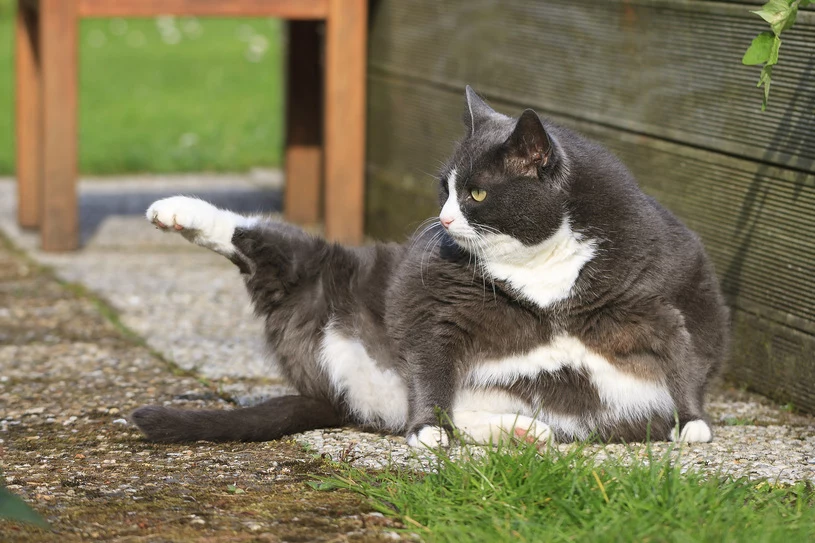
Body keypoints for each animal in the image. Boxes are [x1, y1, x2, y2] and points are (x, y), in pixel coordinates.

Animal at [131, 86, 728, 450]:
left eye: (476, 193)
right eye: (444, 187)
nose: (441, 220)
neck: (542, 270)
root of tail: (338, 392)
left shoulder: (671, 295)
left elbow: (687, 355)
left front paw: (693, 423)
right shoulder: (435, 304)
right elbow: (431, 359)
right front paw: (426, 434)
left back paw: (523, 432)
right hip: (319, 273)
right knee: (265, 247)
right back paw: (172, 211)